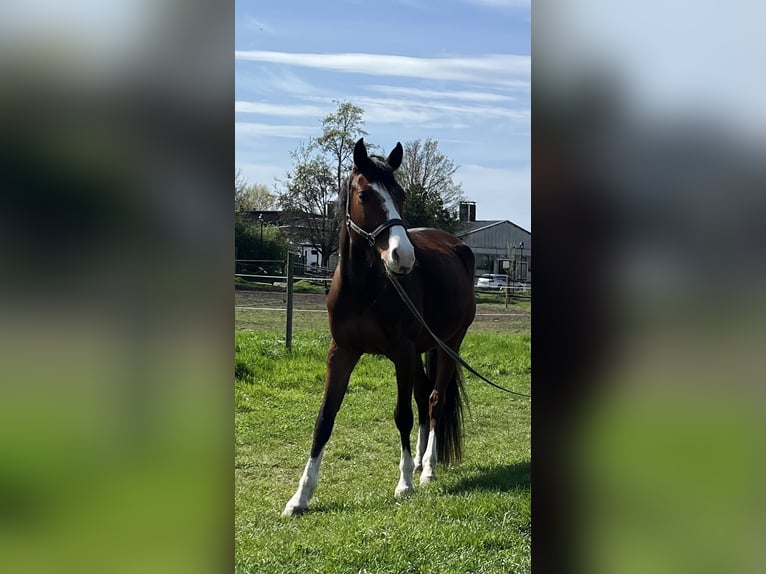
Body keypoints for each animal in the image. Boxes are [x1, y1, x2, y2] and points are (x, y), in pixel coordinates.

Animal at [284, 138, 474, 516]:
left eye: (400, 195)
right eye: (364, 195)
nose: (403, 257)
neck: (365, 288)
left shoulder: (400, 353)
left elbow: (402, 415)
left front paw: (404, 484)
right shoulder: (342, 352)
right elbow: (324, 420)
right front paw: (300, 497)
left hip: (449, 344)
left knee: (434, 400)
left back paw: (427, 470)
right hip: (420, 352)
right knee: (423, 398)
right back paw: (419, 461)